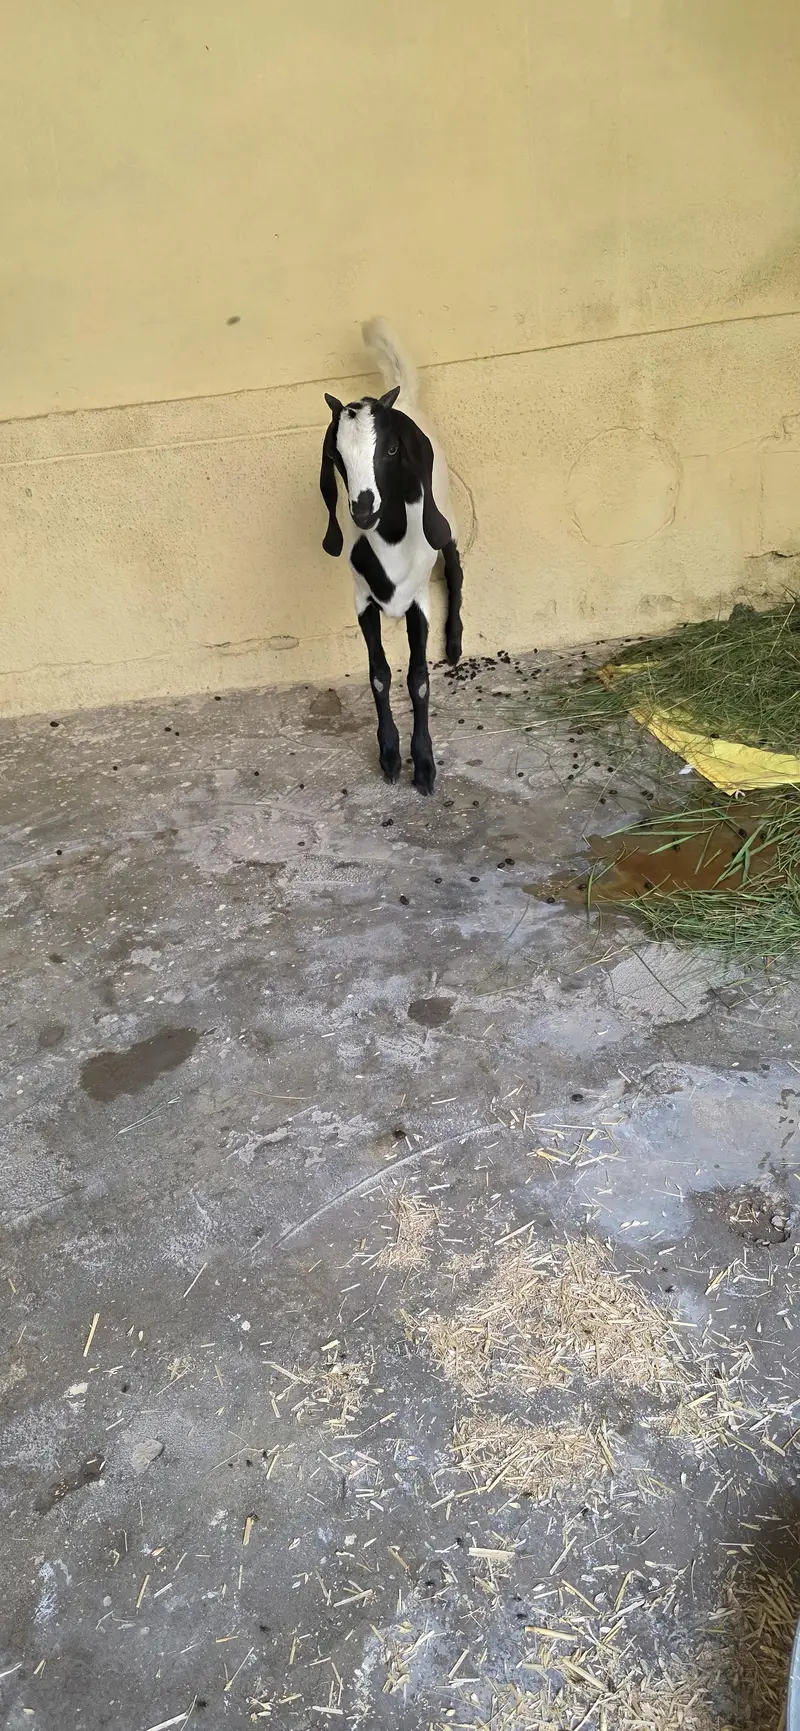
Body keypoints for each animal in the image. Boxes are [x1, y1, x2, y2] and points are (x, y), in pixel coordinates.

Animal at [319, 319, 463, 795]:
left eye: (392, 450)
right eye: (336, 456)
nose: (363, 509)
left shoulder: (419, 601)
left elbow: (417, 680)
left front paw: (424, 766)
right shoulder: (362, 601)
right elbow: (379, 674)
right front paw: (389, 756)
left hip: (446, 518)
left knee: (455, 568)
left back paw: (454, 643)